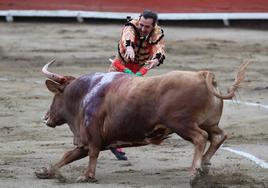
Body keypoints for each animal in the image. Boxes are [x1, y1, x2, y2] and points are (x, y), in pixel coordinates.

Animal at [35, 59, 251, 183]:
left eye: (55, 96)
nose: (45, 117)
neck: (85, 93)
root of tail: (203, 75)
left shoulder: (93, 137)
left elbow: (92, 154)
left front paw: (86, 176)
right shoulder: (86, 141)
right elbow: (68, 155)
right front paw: (46, 171)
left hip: (182, 124)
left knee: (200, 138)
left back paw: (194, 172)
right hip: (209, 122)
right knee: (218, 136)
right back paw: (204, 165)